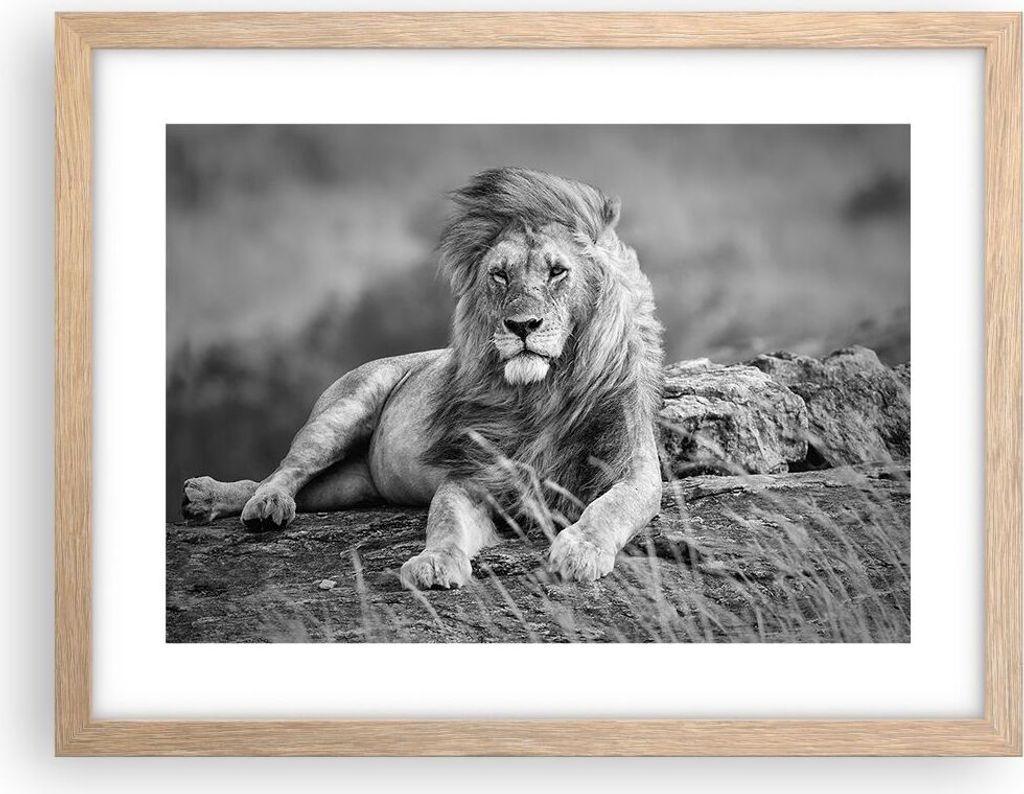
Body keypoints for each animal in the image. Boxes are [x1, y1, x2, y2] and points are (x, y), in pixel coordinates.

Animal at [181, 167, 665, 588]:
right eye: (500, 274)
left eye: (557, 271)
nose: (521, 326)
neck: (542, 393)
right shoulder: (472, 475)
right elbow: (445, 520)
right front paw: (434, 563)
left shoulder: (635, 469)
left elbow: (611, 507)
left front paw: (581, 549)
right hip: (342, 412)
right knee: (285, 470)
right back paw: (252, 502)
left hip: (350, 486)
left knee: (288, 484)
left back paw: (209, 499)